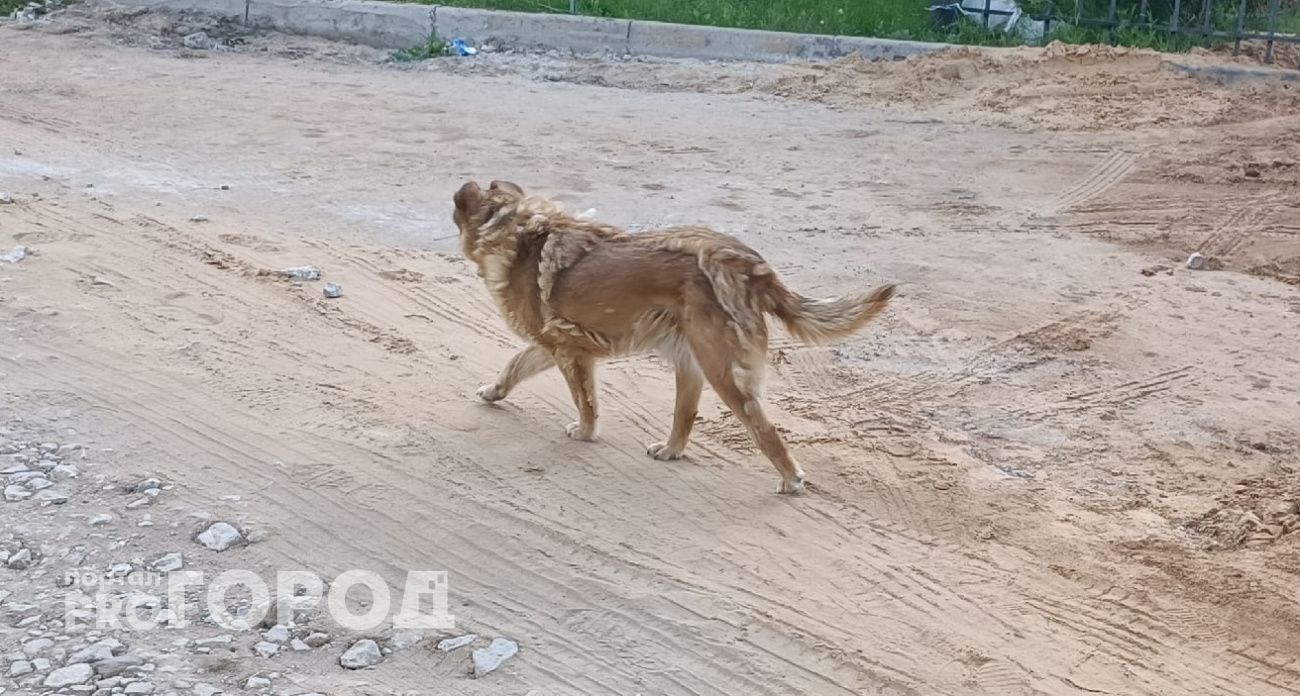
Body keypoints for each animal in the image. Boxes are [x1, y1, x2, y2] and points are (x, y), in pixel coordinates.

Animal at [449, 179, 894, 496]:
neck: (513, 226)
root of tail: (748, 264)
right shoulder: (555, 346)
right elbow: (514, 366)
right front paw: (493, 392)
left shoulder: (569, 353)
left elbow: (585, 402)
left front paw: (585, 432)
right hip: (692, 362)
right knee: (685, 417)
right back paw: (671, 450)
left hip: (722, 371)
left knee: (763, 429)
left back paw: (790, 479)